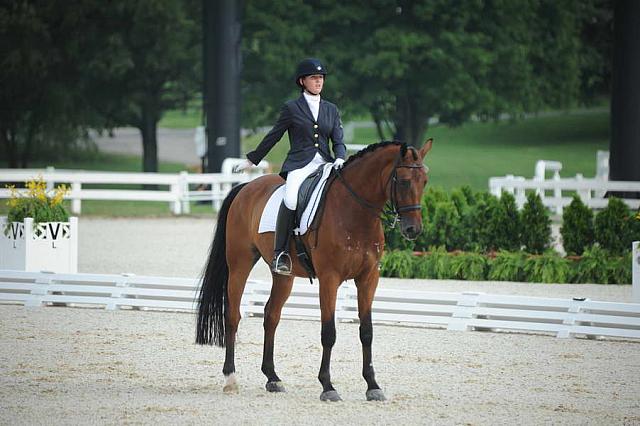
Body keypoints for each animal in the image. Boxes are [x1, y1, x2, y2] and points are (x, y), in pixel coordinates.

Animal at [196, 140, 430, 402]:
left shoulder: (369, 278)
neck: (355, 212)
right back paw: (230, 378)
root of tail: (247, 187)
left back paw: (272, 378)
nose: (413, 229)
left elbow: (367, 331)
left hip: (283, 276)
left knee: (271, 315)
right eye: (404, 181)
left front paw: (372, 385)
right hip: (240, 263)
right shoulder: (329, 278)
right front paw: (328, 386)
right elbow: (328, 332)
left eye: (424, 181)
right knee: (233, 315)